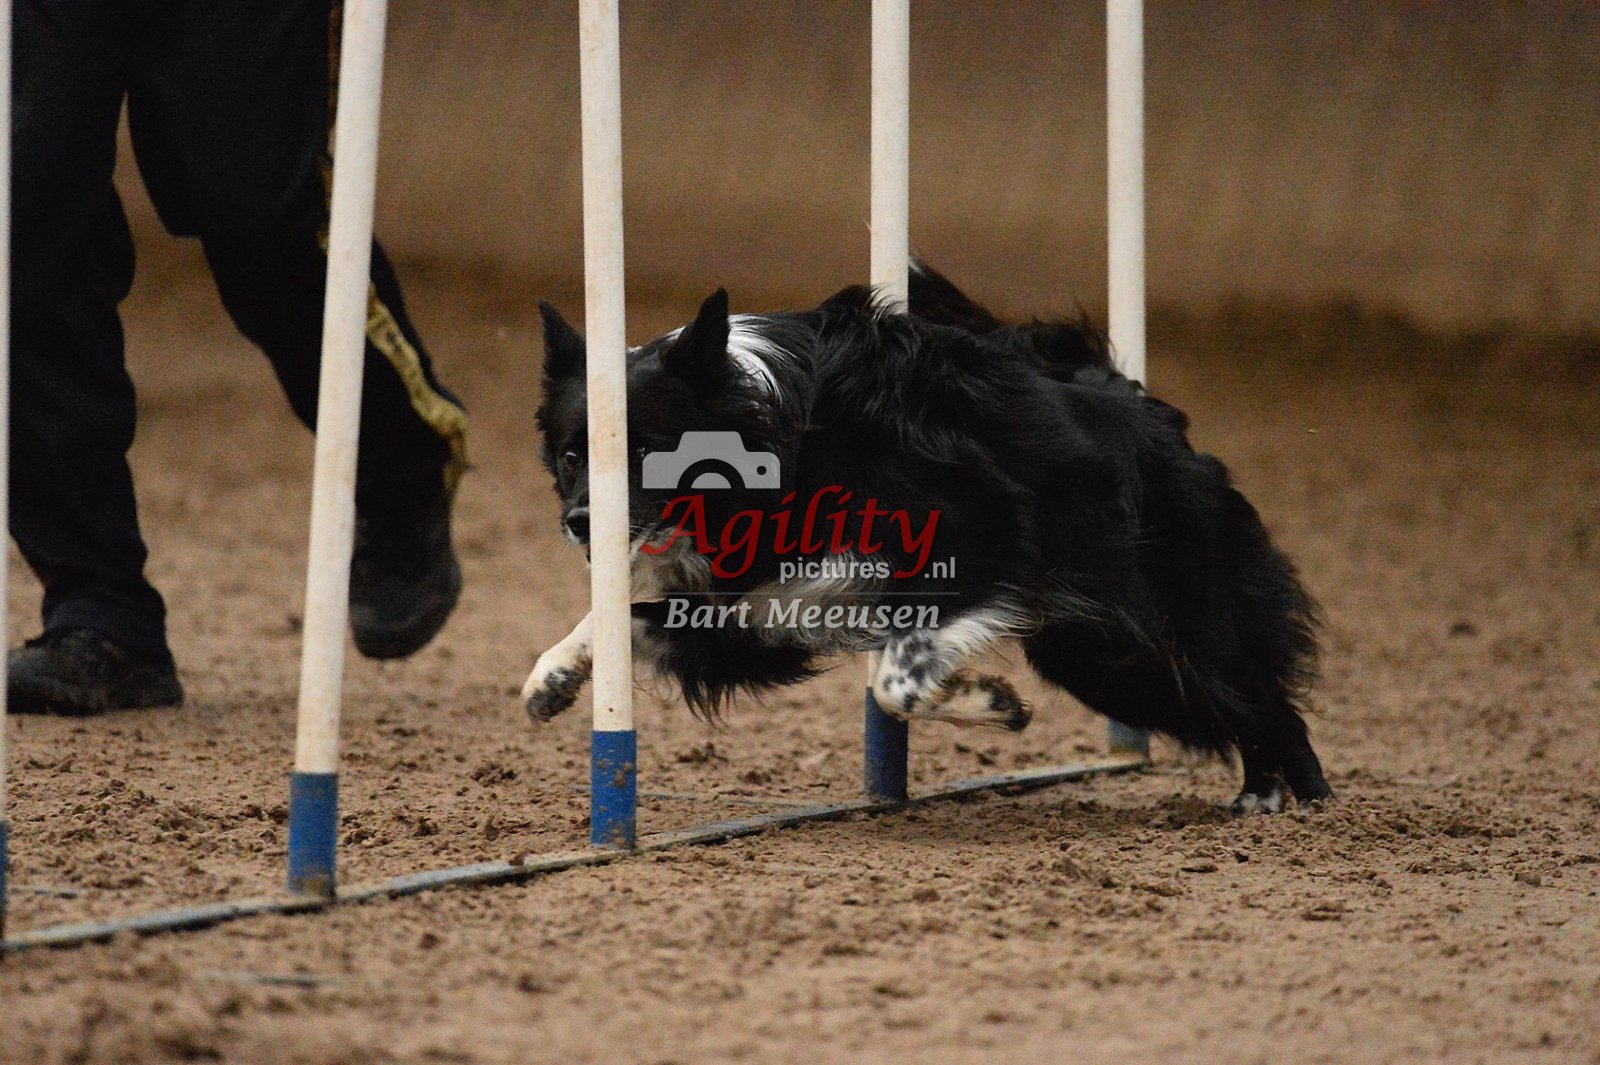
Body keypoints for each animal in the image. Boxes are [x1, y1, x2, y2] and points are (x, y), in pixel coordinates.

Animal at [524, 265, 1333, 813]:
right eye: (570, 455)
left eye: (646, 451)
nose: (581, 523)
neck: (786, 439)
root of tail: (1143, 406)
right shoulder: (754, 612)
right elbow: (626, 617)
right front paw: (553, 675)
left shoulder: (983, 542)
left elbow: (896, 677)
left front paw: (989, 702)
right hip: (1098, 654)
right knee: (1224, 704)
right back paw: (1265, 791)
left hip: (1177, 618)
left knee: (1261, 694)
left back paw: (1300, 804)